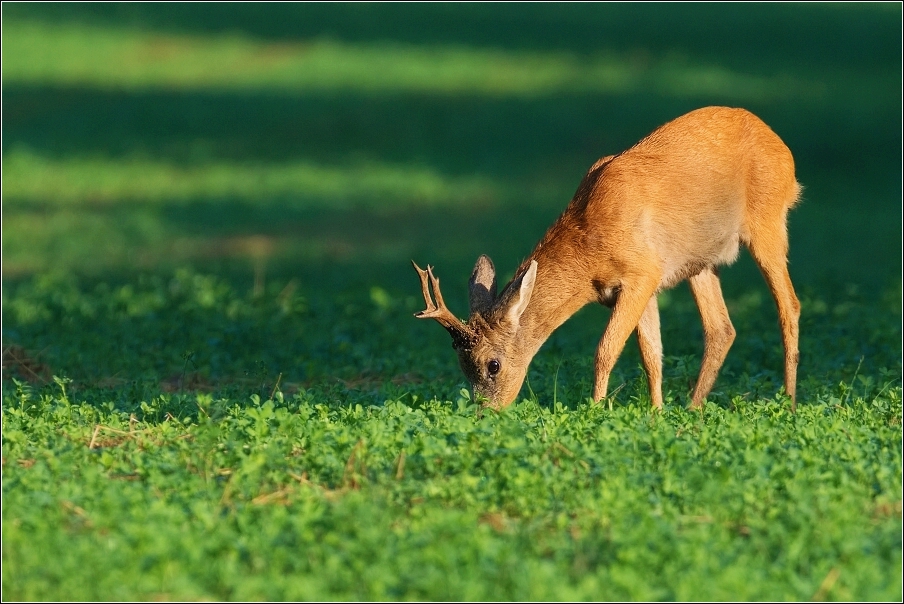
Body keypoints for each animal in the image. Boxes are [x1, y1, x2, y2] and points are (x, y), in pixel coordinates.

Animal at [414, 106, 800, 412]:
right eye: (461, 365)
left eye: (492, 365)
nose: (485, 413)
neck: (589, 249)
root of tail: (783, 149)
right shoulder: (643, 284)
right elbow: (651, 354)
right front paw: (656, 413)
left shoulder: (643, 272)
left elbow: (606, 349)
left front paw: (596, 409)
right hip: (701, 261)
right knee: (721, 328)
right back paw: (693, 408)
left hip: (768, 222)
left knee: (789, 306)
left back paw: (790, 402)